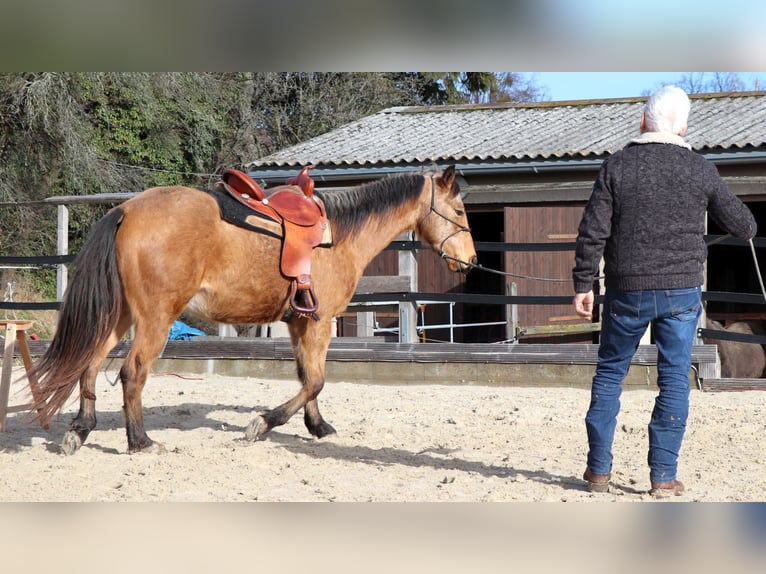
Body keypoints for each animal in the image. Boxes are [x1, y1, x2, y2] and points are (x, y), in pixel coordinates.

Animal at [28, 165, 477, 455]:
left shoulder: (300, 322)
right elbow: (316, 380)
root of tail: (127, 210)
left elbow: (307, 377)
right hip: (155, 319)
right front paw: (262, 423)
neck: (340, 235)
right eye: (458, 211)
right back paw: (140, 442)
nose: (471, 261)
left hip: (120, 316)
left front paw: (317, 426)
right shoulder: (320, 322)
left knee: (89, 364)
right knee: (132, 372)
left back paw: (81, 430)